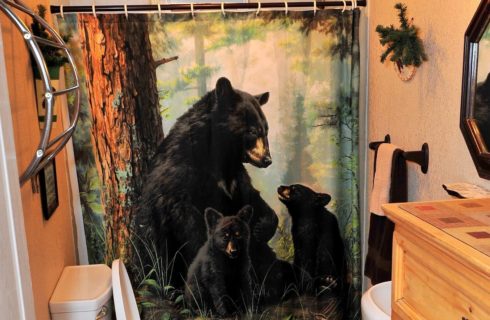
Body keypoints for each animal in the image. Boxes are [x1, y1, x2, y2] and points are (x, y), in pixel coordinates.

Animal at [132, 77, 290, 302]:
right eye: (252, 131)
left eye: (266, 130)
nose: (267, 159)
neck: (218, 154)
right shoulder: (183, 175)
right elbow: (189, 220)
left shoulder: (234, 177)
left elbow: (252, 199)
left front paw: (261, 228)